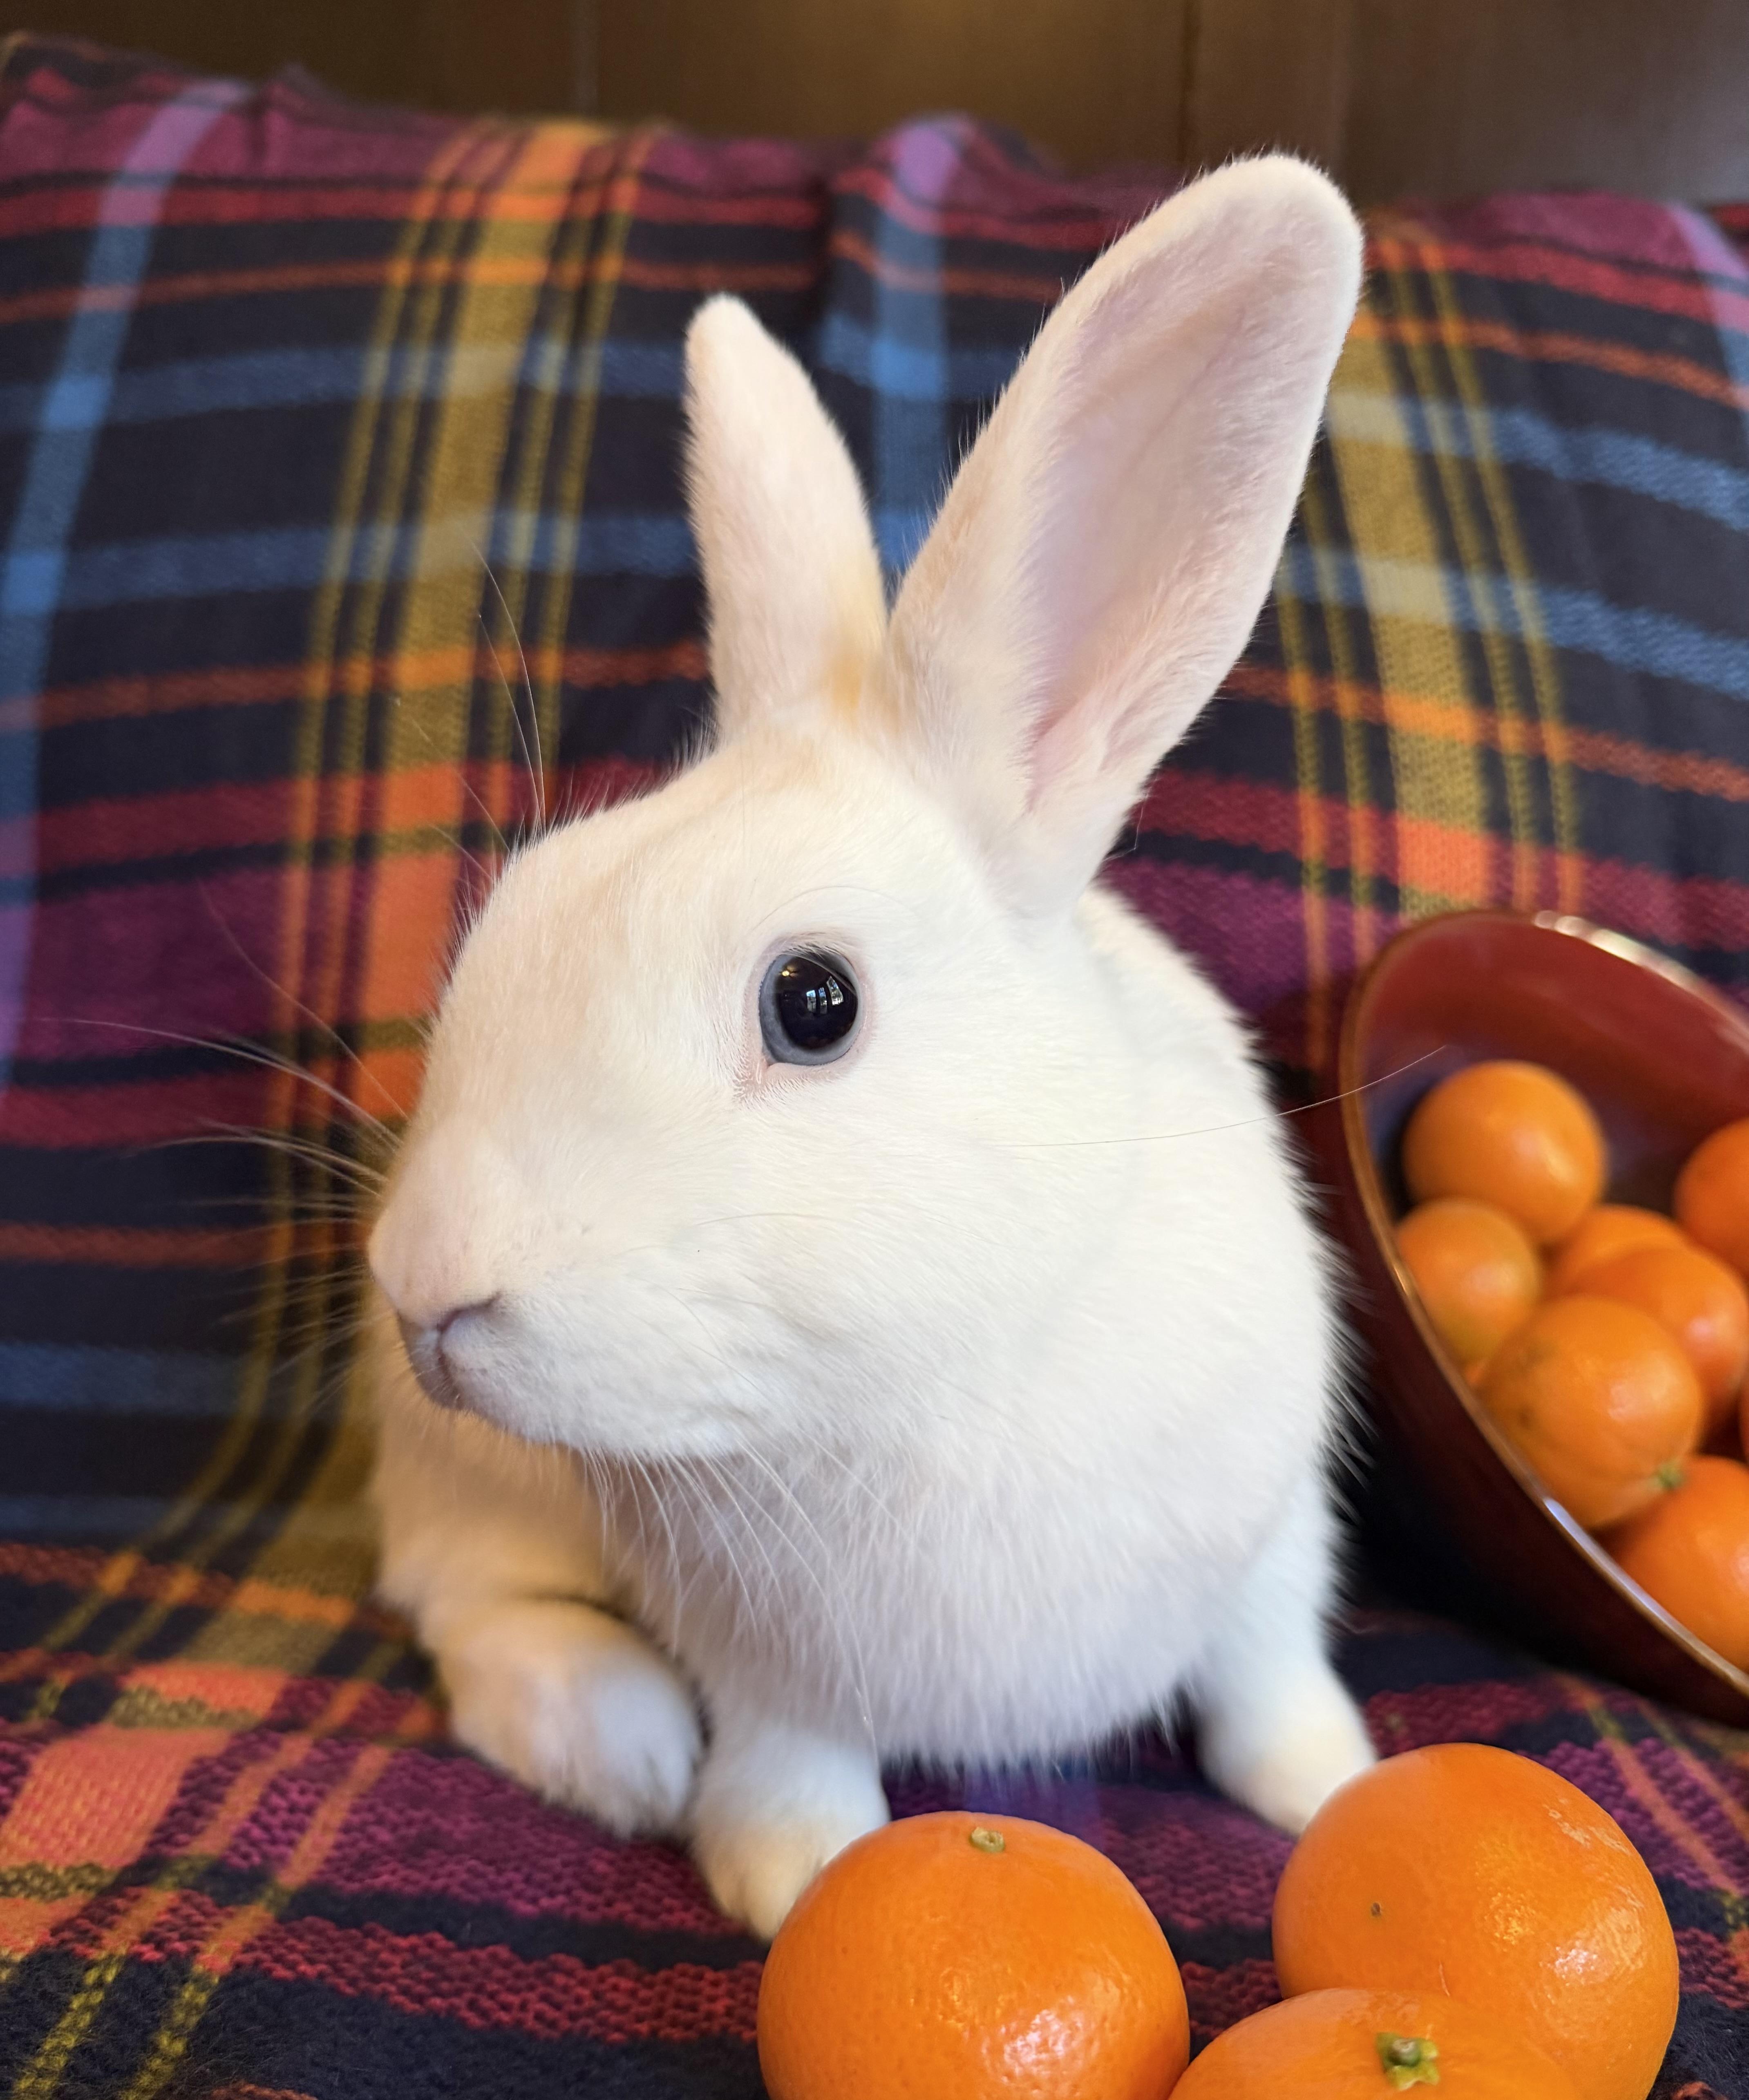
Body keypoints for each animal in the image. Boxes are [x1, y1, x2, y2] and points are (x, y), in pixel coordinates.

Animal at [367, 152, 1375, 1940]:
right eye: (514, 917)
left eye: (813, 1001)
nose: (427, 1288)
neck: (945, 1370)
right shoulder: (773, 1668)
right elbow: (788, 1761)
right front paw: (793, 1877)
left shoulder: (1271, 1553)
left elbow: (1271, 1680)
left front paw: (1330, 1786)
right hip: (467, 1476)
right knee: (466, 1603)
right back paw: (621, 1747)